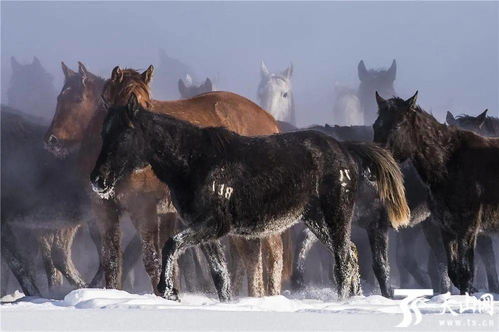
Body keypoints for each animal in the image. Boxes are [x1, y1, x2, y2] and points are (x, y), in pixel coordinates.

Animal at [90, 93, 410, 300]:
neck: (195, 161)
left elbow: (171, 245)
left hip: (335, 216)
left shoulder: (212, 225)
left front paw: (169, 292)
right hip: (317, 220)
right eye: (103, 134)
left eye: (124, 134)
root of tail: (345, 150)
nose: (97, 180)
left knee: (344, 261)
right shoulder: (205, 232)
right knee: (352, 255)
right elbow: (220, 276)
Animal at [376, 91, 499, 294]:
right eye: (376, 124)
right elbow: (453, 272)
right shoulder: (444, 227)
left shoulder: (469, 227)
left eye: (398, 124)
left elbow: (467, 272)